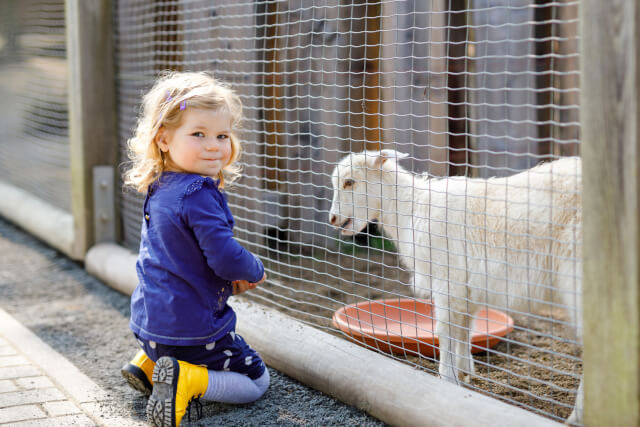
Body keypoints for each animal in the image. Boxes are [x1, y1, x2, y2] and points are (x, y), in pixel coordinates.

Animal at [330, 150, 584, 424]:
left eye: (350, 182)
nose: (332, 219)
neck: (413, 209)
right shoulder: (466, 288)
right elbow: (465, 328)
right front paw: (464, 370)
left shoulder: (447, 281)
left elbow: (445, 330)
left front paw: (447, 378)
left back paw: (577, 416)